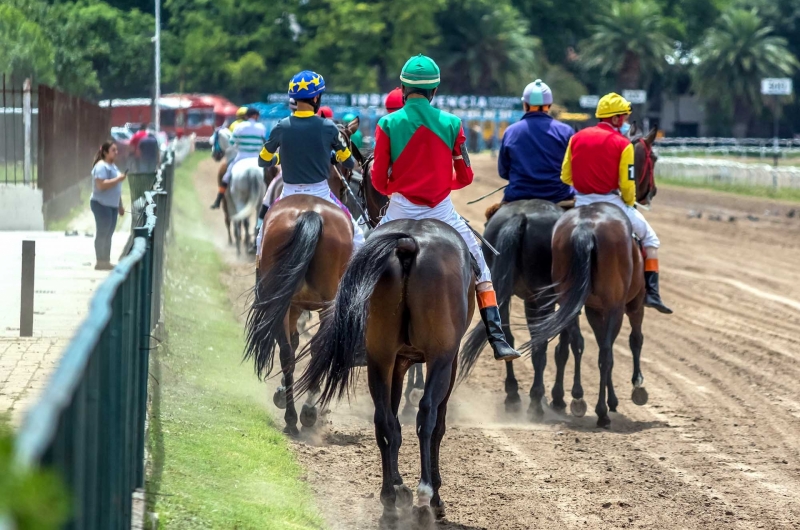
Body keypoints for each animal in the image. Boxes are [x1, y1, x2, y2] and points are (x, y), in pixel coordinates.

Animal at [244, 194, 354, 434]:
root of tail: (310, 213)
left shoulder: (290, 306)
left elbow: (292, 345)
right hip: (325, 305)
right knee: (315, 347)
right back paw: (307, 411)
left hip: (283, 300)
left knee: (287, 353)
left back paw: (291, 418)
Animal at [298, 219, 476, 524]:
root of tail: (409, 243)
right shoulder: (447, 361)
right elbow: (437, 424)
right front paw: (434, 498)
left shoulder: (398, 360)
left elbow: (394, 424)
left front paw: (399, 486)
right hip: (438, 357)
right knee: (426, 415)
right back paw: (425, 498)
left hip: (379, 356)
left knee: (383, 420)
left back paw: (390, 503)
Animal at [456, 198, 588, 416]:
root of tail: (521, 217)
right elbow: (567, 347)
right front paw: (563, 398)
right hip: (543, 297)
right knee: (540, 345)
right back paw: (535, 403)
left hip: (503, 290)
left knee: (508, 337)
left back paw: (513, 396)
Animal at [520, 126, 660, 426]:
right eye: (653, 157)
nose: (651, 192)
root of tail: (585, 227)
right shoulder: (632, 304)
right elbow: (634, 340)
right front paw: (635, 388)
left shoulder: (593, 307)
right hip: (616, 303)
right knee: (606, 352)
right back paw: (601, 413)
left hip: (570, 299)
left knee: (577, 342)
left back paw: (576, 399)